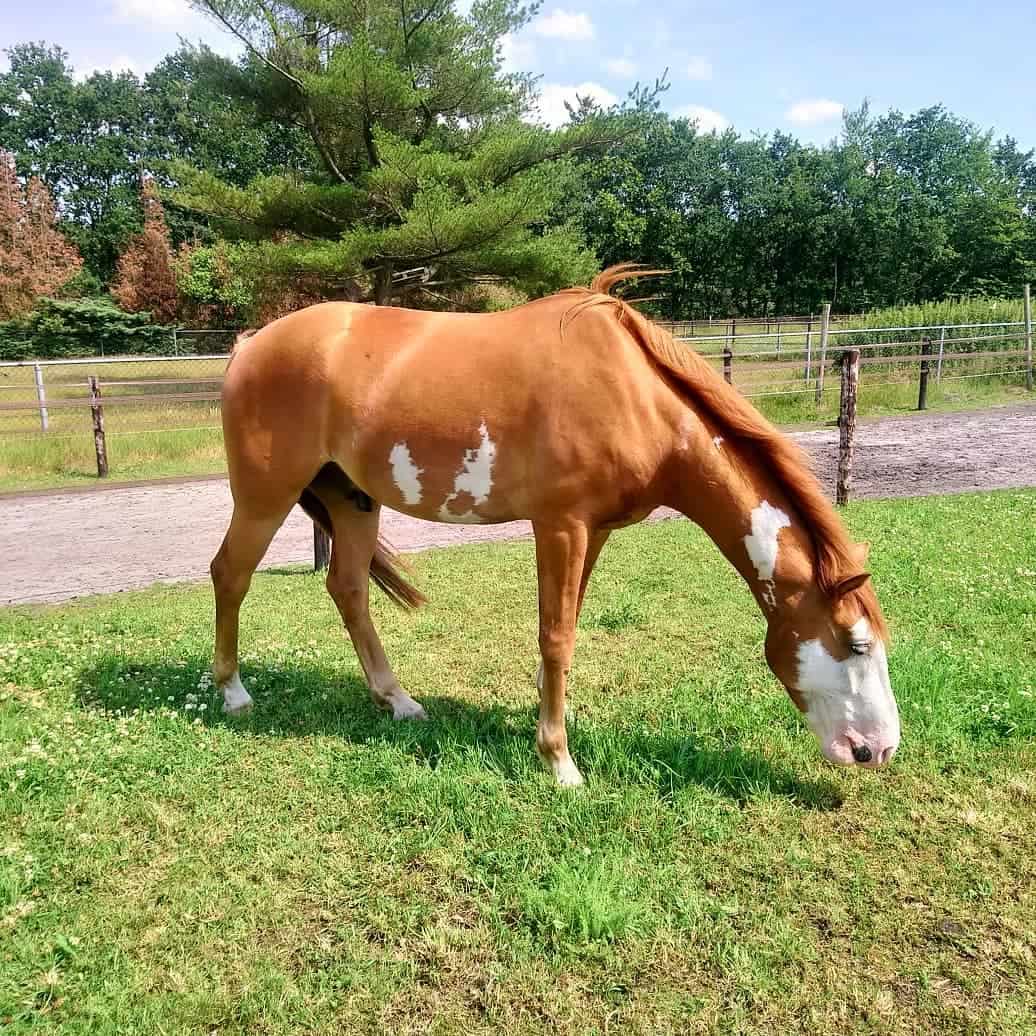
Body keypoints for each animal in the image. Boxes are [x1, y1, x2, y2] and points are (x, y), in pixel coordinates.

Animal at [211, 266, 900, 786]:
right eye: (855, 644)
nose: (879, 749)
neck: (634, 396)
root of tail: (250, 344)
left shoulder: (593, 531)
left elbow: (564, 630)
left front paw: (543, 729)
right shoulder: (561, 526)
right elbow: (556, 637)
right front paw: (560, 762)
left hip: (352, 498)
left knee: (349, 589)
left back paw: (398, 701)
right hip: (265, 497)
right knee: (231, 574)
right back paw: (234, 694)